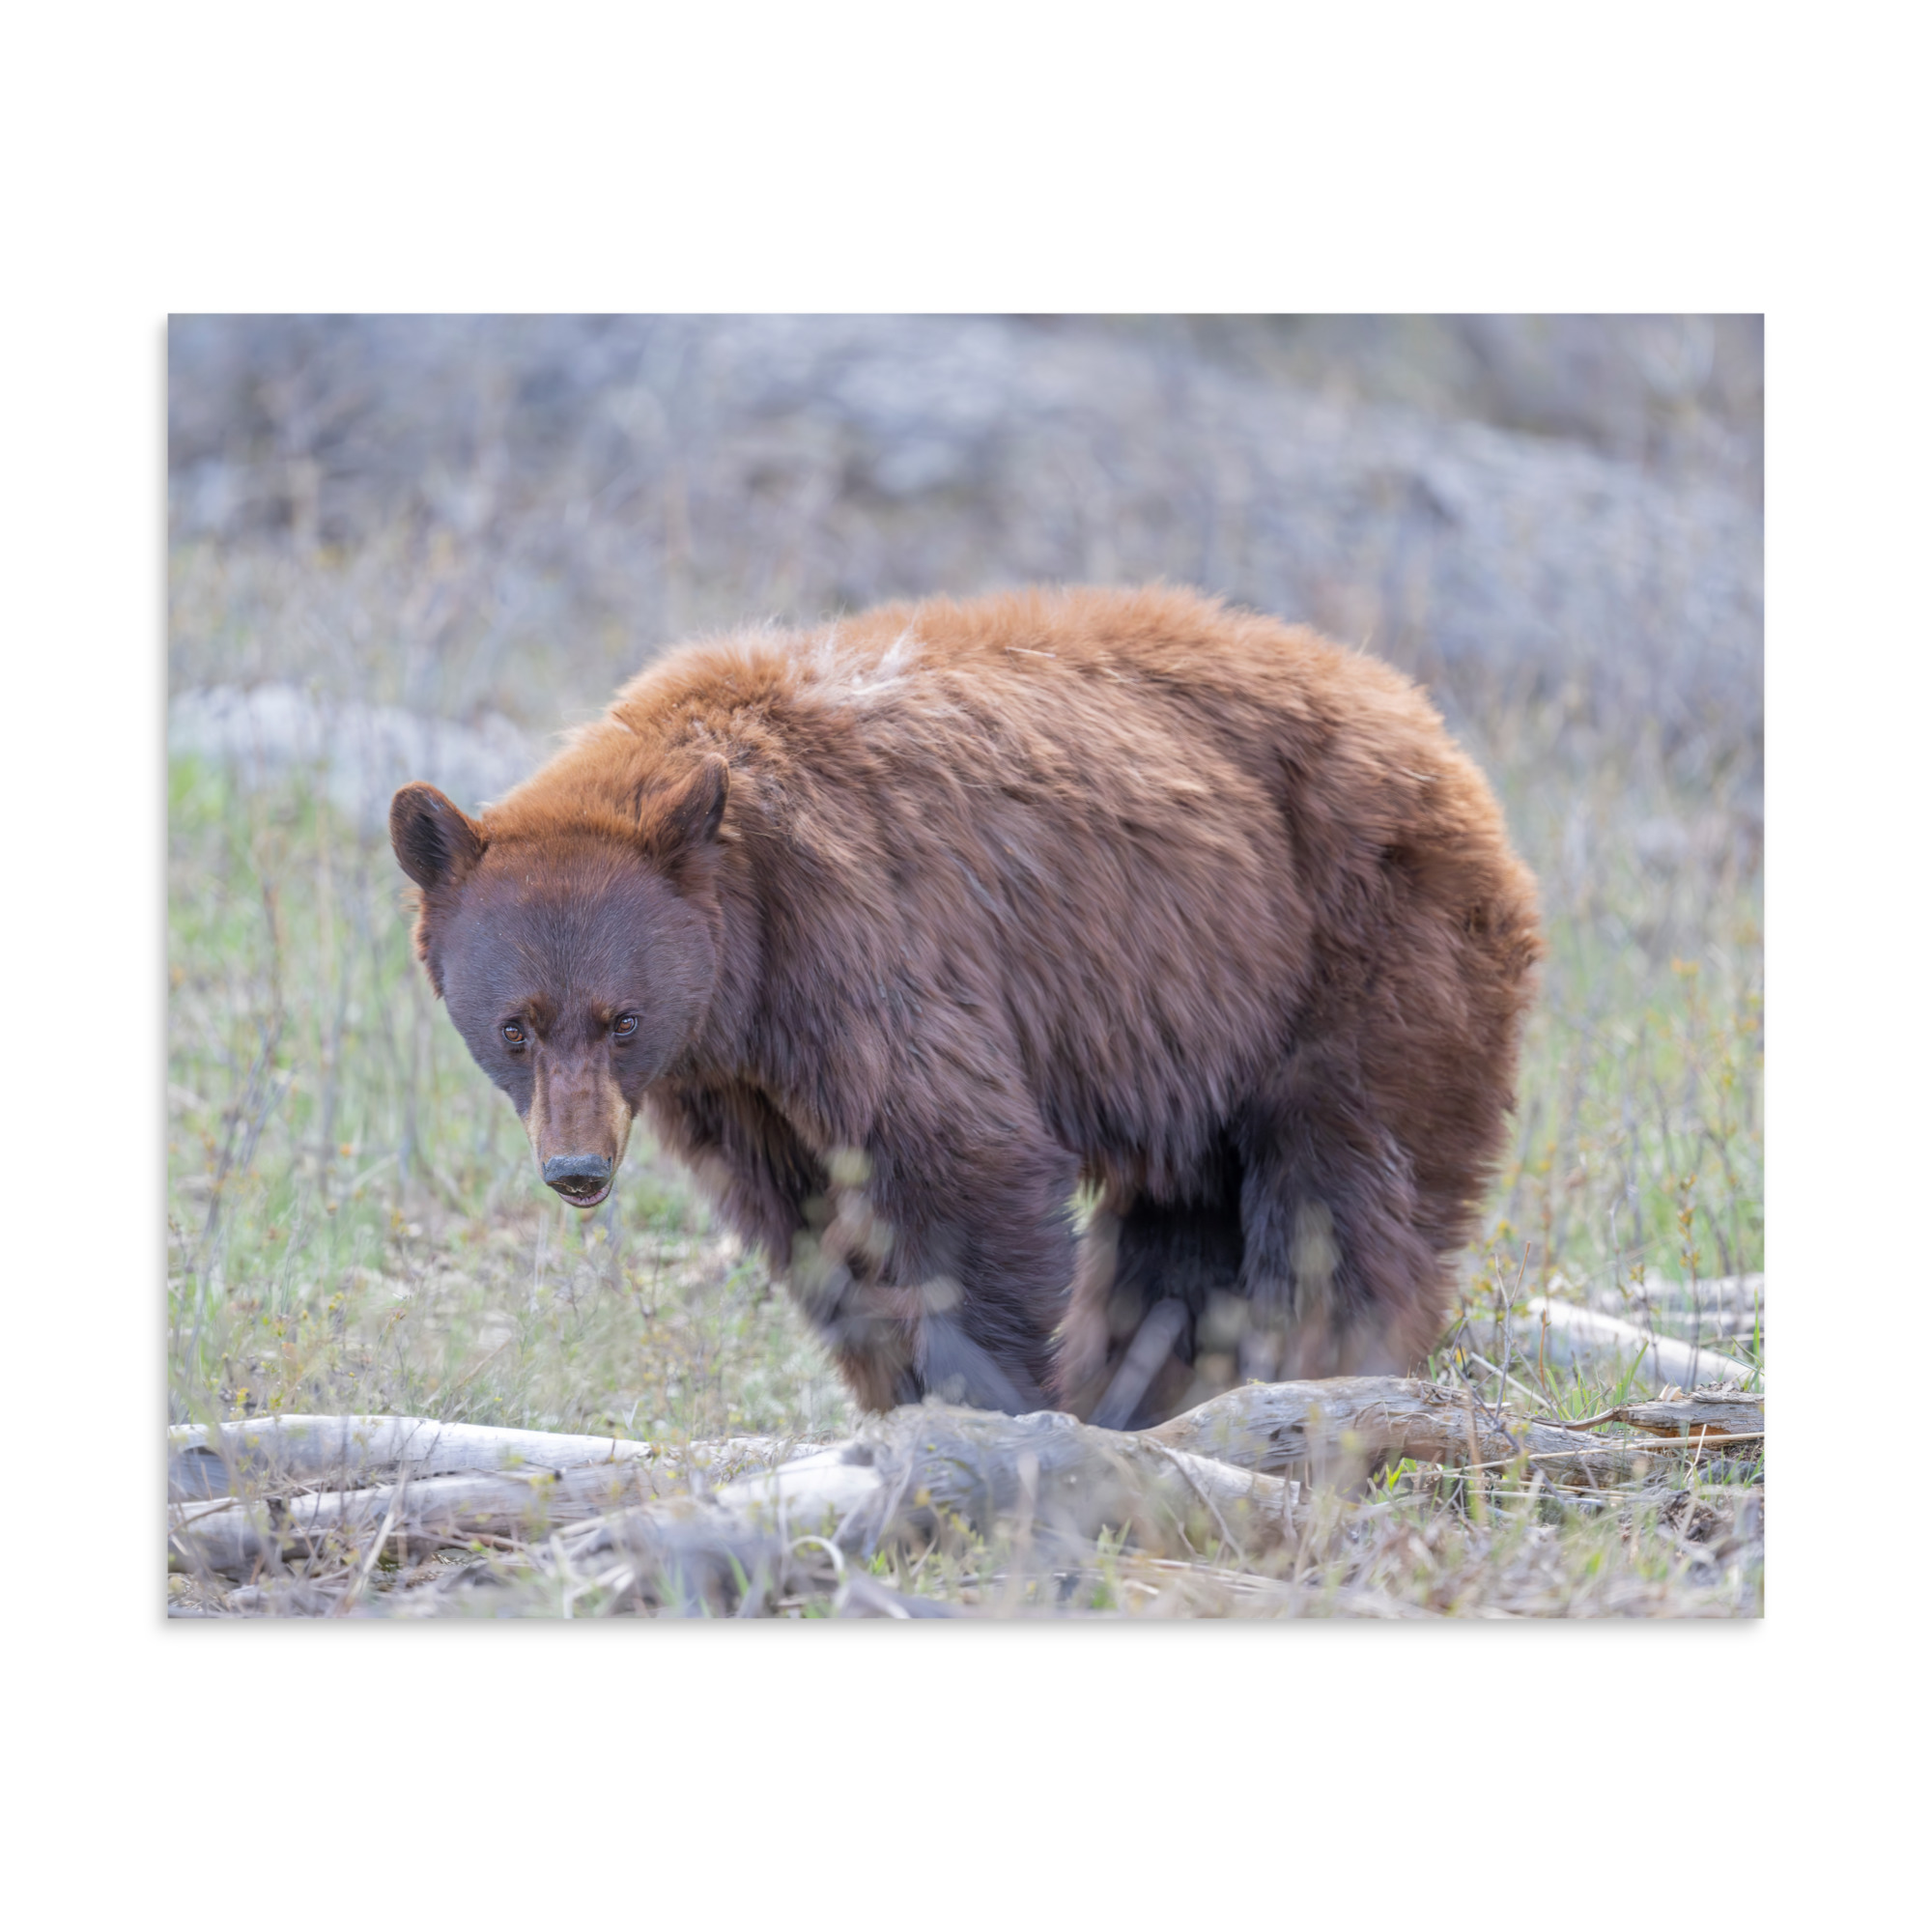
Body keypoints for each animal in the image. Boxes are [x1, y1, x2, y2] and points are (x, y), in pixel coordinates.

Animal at [390, 585, 1541, 1426]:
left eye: (621, 1018)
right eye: (515, 1027)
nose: (577, 1169)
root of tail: (1431, 728)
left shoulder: (865, 944)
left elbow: (959, 1164)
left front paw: (992, 1400)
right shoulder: (736, 1081)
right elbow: (811, 1223)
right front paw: (900, 1393)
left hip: (1359, 950)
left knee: (1344, 1190)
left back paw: (1316, 1367)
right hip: (1205, 1028)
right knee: (1181, 1226)